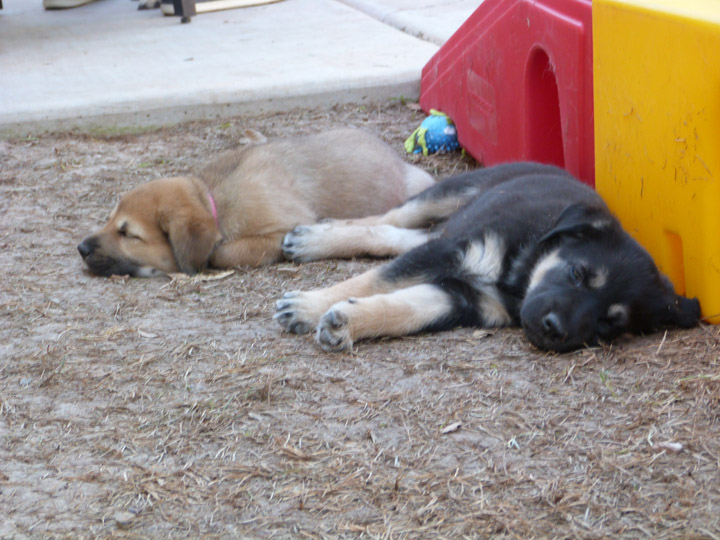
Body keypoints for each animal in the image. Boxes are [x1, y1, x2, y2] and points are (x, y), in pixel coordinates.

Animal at [81, 128, 436, 276]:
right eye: (110, 220)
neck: (213, 199)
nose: (81, 248)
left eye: (128, 234)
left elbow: (220, 252)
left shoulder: (282, 230)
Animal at [272, 162, 700, 352]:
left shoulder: (467, 300)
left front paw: (348, 322)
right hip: (450, 194)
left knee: (399, 236)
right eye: (578, 273)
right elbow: (373, 280)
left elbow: (405, 309)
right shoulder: (450, 252)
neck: (520, 273)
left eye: (611, 323)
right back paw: (314, 237)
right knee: (387, 221)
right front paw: (308, 306)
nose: (554, 330)